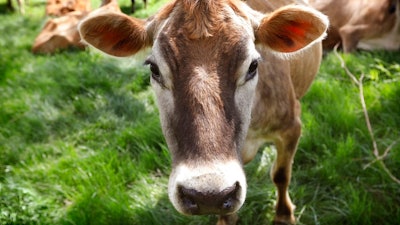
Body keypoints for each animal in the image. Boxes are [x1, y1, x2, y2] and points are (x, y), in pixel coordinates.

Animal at [78, 0, 328, 224]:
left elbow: (281, 175)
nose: (208, 195)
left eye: (253, 65)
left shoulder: (292, 127)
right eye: (154, 68)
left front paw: (284, 215)